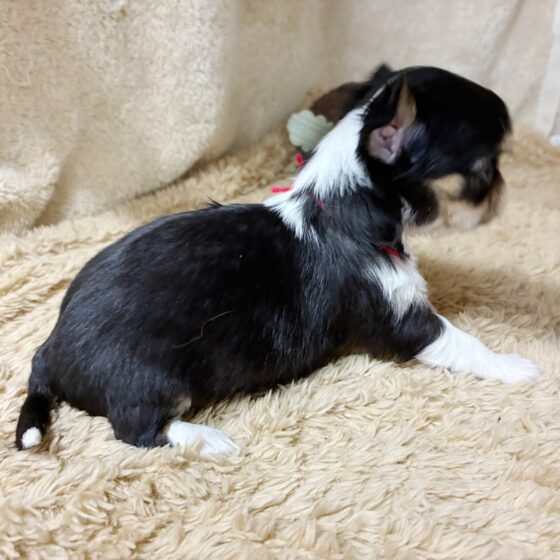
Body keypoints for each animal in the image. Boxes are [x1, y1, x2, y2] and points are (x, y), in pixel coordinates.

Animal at [15, 66, 539, 455]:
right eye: (483, 170)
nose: (504, 197)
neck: (340, 206)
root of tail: (51, 347)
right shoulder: (400, 321)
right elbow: (463, 342)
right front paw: (514, 365)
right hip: (150, 381)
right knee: (135, 430)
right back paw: (206, 439)